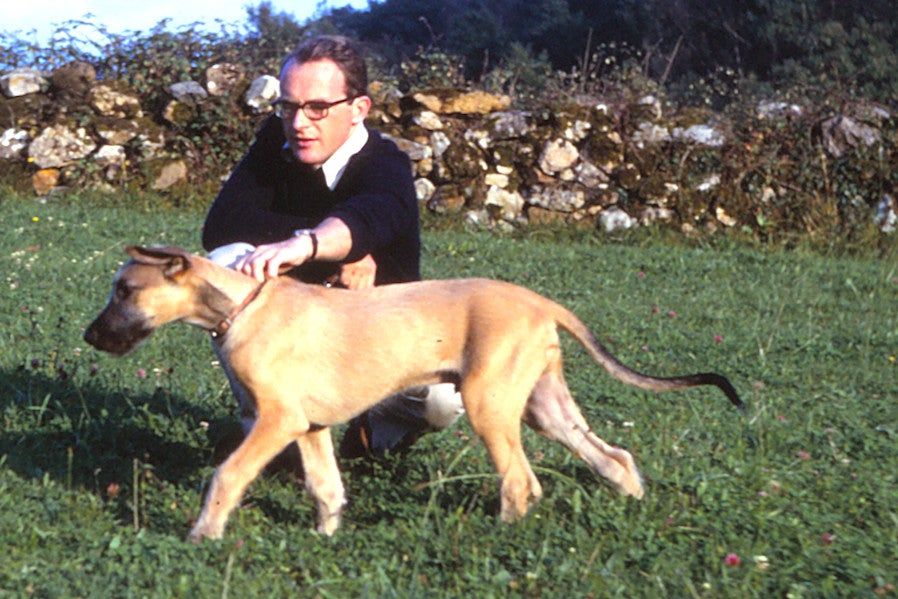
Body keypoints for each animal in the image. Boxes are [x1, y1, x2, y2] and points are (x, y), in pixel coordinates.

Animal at [86, 246, 744, 540]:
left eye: (125, 290)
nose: (90, 337)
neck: (241, 307)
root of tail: (541, 303)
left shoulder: (276, 422)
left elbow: (227, 474)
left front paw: (204, 534)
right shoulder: (310, 427)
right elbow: (326, 486)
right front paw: (326, 536)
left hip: (488, 406)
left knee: (520, 482)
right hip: (544, 408)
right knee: (614, 456)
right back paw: (635, 507)